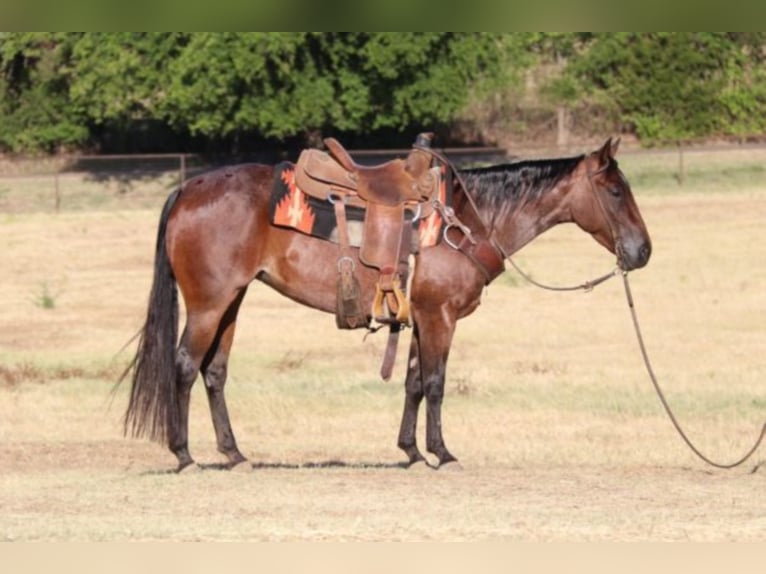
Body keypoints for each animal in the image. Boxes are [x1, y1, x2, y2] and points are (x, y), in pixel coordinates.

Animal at [123, 138, 652, 472]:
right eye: (614, 190)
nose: (642, 250)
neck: (466, 221)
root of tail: (188, 188)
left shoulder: (422, 316)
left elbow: (414, 382)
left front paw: (412, 451)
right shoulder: (440, 317)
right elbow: (436, 383)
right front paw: (443, 453)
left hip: (232, 302)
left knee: (214, 372)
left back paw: (233, 454)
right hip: (208, 304)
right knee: (185, 365)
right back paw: (184, 455)